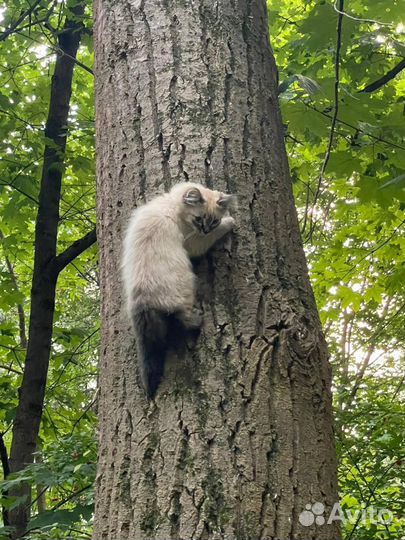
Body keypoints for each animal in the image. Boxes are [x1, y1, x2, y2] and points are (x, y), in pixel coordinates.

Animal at [123, 181, 237, 396]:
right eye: (199, 219)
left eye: (213, 221)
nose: (206, 230)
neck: (171, 205)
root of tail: (143, 301)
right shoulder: (193, 242)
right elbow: (225, 227)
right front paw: (231, 221)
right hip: (185, 286)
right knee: (181, 318)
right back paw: (197, 320)